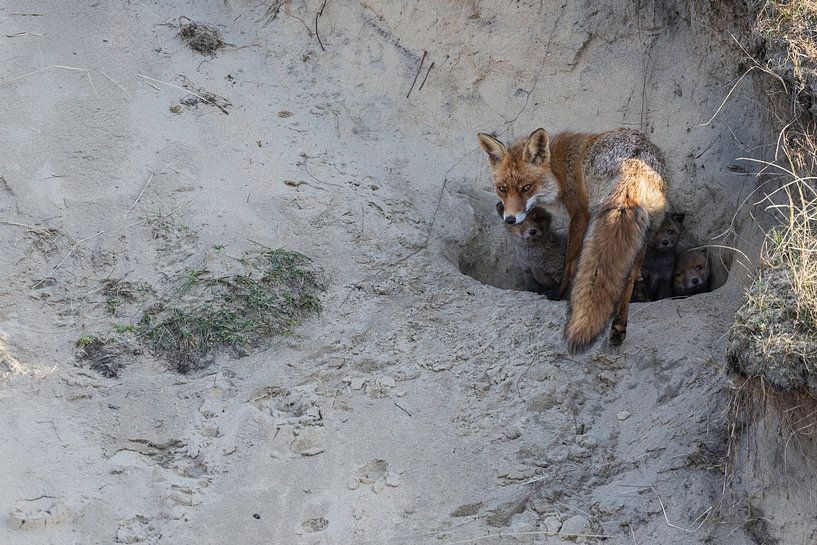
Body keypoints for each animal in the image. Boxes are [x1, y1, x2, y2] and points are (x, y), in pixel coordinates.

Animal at [478, 128, 668, 354]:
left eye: (526, 187)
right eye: (502, 188)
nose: (510, 219)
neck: (559, 169)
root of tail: (635, 163)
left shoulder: (579, 213)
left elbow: (570, 262)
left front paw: (559, 294)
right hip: (646, 228)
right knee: (628, 274)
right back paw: (619, 328)